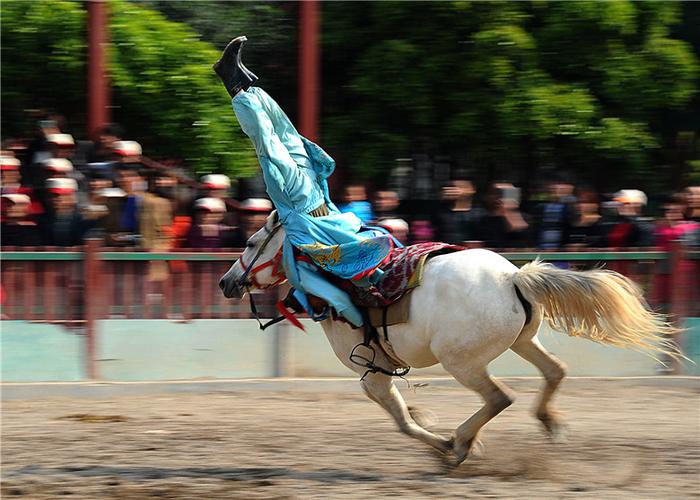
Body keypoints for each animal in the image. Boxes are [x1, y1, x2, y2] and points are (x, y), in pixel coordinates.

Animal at [219, 211, 676, 465]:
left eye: (253, 242)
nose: (226, 282)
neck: (332, 281)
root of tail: (513, 277)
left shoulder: (372, 373)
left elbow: (402, 422)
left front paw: (442, 443)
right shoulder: (381, 372)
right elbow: (407, 413)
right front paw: (433, 424)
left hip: (462, 362)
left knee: (500, 397)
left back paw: (460, 444)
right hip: (523, 342)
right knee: (555, 372)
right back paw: (550, 424)